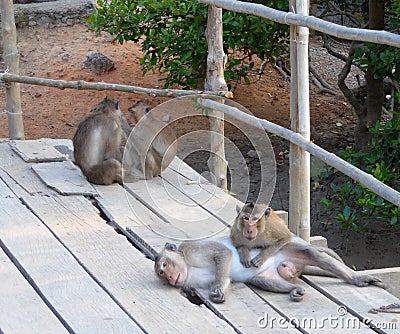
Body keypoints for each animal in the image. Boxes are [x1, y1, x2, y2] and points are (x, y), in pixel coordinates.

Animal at [154, 236, 384, 304]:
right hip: (275, 269)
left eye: (164, 265)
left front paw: (217, 288)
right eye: (161, 273)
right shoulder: (190, 280)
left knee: (311, 253)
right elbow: (226, 277)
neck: (187, 265)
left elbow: (222, 254)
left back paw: (353, 278)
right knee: (260, 280)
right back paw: (292, 289)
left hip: (286, 248)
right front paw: (217, 290)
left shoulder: (192, 249)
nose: (169, 277)